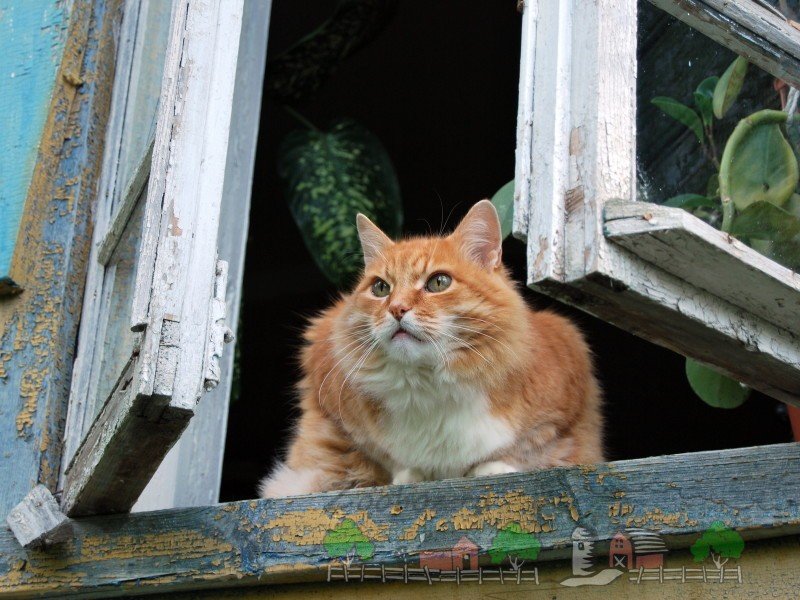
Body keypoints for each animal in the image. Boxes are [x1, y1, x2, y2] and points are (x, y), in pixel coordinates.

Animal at [260, 198, 604, 496]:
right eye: (380, 288)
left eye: (438, 282)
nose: (396, 309)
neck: (428, 382)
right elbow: (377, 460)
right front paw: (410, 474)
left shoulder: (567, 402)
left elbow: (532, 448)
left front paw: (493, 468)